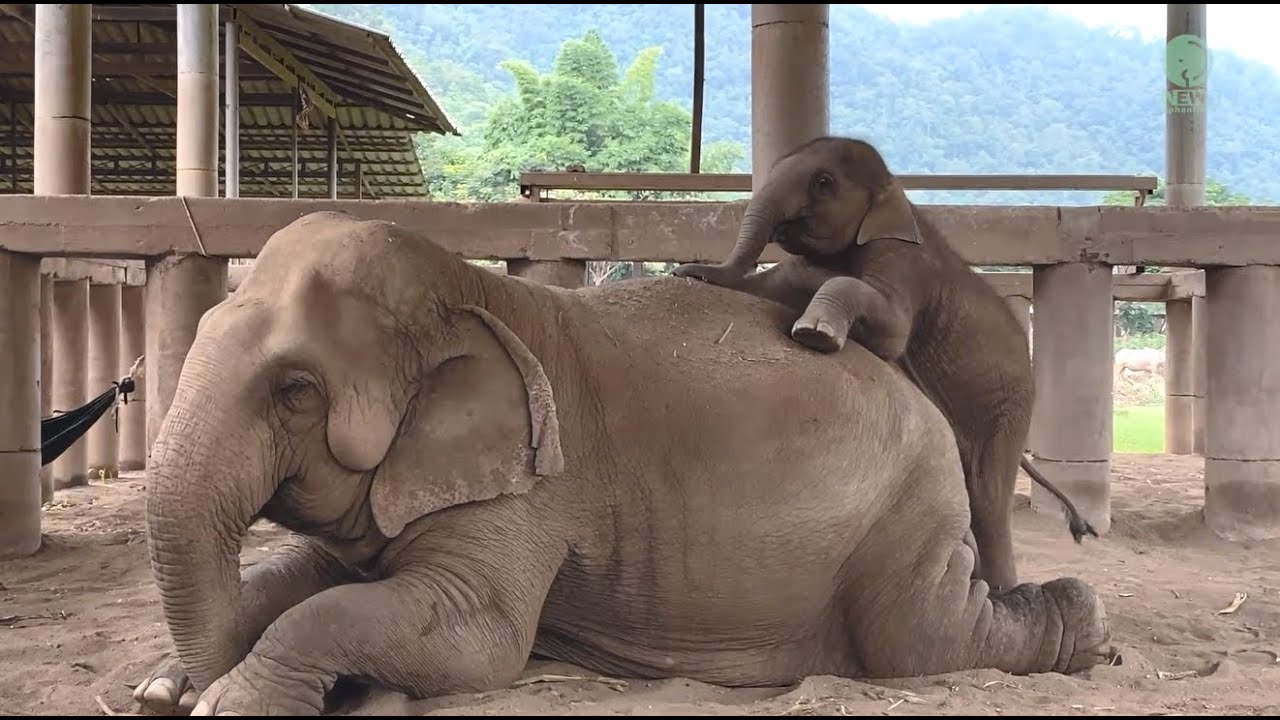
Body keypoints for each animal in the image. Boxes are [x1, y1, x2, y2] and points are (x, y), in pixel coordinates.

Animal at [134, 210, 1111, 716]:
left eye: (295, 390)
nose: (184, 687)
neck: (464, 283)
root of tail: (913, 389)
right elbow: (304, 577)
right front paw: (160, 686)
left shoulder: (532, 481)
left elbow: (476, 638)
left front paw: (228, 702)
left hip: (905, 504)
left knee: (923, 638)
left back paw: (1086, 626)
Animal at [672, 136, 1097, 597]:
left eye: (824, 182)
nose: (686, 267)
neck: (897, 192)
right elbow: (776, 282)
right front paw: (693, 274)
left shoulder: (903, 263)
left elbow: (891, 330)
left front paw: (814, 334)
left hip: (1007, 408)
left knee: (986, 497)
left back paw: (1003, 592)